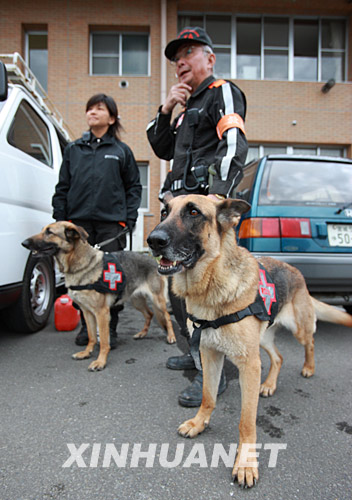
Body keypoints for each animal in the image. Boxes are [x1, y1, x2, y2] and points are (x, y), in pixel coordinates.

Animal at [22, 222, 176, 372]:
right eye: (43, 230)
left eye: (49, 232)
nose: (24, 243)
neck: (79, 263)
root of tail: (154, 261)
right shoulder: (87, 312)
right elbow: (91, 336)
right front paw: (86, 352)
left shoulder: (101, 313)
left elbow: (103, 340)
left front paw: (100, 362)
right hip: (136, 300)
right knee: (149, 314)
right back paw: (142, 333)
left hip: (157, 301)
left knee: (167, 317)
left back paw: (171, 336)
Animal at [147, 194, 352, 488]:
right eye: (164, 212)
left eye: (194, 213)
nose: (153, 240)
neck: (211, 286)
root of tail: (295, 270)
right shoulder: (210, 354)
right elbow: (208, 396)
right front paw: (200, 423)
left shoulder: (249, 365)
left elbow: (246, 421)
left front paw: (245, 463)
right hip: (262, 340)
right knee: (278, 357)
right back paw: (269, 385)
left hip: (295, 329)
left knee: (309, 342)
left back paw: (308, 368)